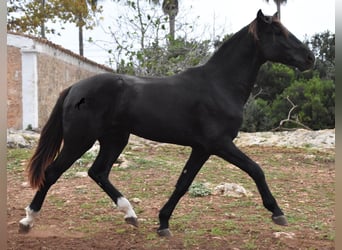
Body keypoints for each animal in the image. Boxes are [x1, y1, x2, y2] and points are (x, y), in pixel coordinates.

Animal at [18, 10, 312, 236]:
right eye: (278, 33)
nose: (310, 58)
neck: (219, 85)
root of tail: (74, 89)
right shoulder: (219, 144)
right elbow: (256, 170)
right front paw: (277, 212)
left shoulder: (202, 148)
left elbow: (183, 183)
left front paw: (162, 223)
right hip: (80, 140)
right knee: (52, 173)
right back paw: (28, 220)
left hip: (114, 139)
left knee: (98, 172)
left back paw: (130, 214)